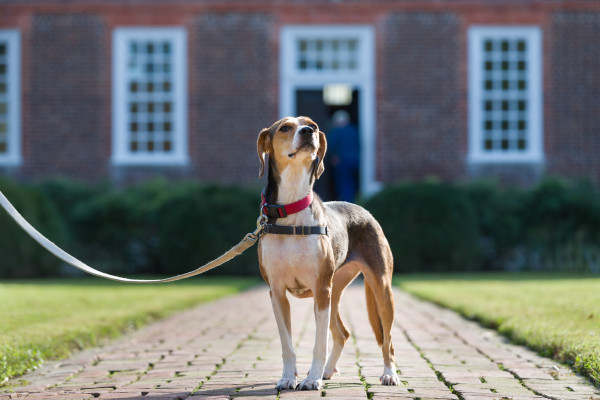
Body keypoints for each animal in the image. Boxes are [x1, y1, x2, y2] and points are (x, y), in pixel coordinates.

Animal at [256, 115, 400, 390]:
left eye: (312, 124)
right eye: (284, 128)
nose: (308, 131)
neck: (292, 209)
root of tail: (365, 212)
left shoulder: (321, 290)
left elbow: (319, 342)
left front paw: (311, 379)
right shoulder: (276, 292)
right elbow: (287, 344)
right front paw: (288, 377)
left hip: (380, 289)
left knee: (387, 340)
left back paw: (389, 373)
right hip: (335, 291)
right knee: (342, 333)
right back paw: (328, 370)